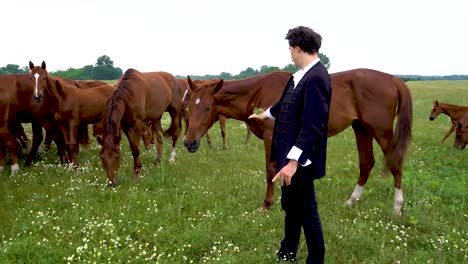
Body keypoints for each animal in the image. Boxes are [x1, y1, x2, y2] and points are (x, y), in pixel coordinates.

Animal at [185, 69, 412, 214]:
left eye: (207, 108)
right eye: (188, 107)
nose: (189, 143)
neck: (259, 91)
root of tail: (393, 79)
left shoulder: (271, 137)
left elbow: (271, 170)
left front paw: (267, 204)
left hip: (380, 132)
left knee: (394, 164)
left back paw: (397, 207)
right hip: (362, 129)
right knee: (366, 163)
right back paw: (351, 201)